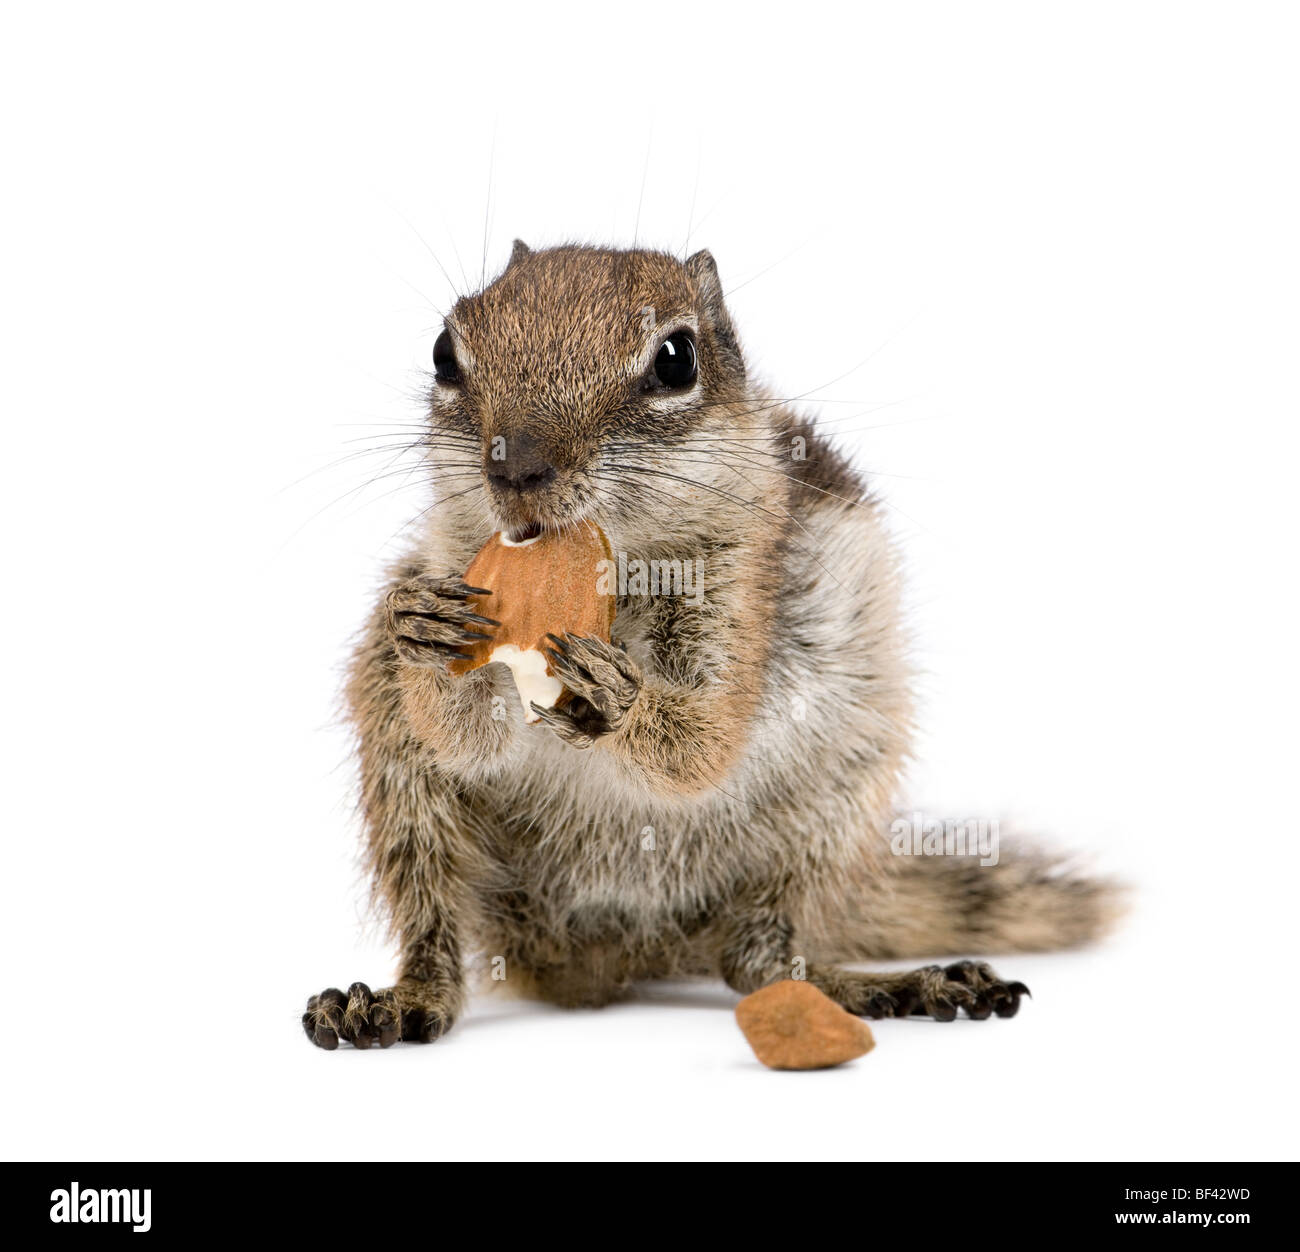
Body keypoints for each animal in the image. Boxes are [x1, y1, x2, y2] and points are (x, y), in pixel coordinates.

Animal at [301, 241, 1118, 1045]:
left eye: (675, 360)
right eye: (445, 353)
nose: (516, 466)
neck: (618, 572)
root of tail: (615, 957)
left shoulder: (739, 598)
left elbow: (705, 743)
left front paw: (619, 699)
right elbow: (464, 738)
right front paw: (423, 628)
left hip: (828, 810)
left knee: (759, 959)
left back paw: (884, 985)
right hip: (405, 787)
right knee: (435, 926)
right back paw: (402, 999)